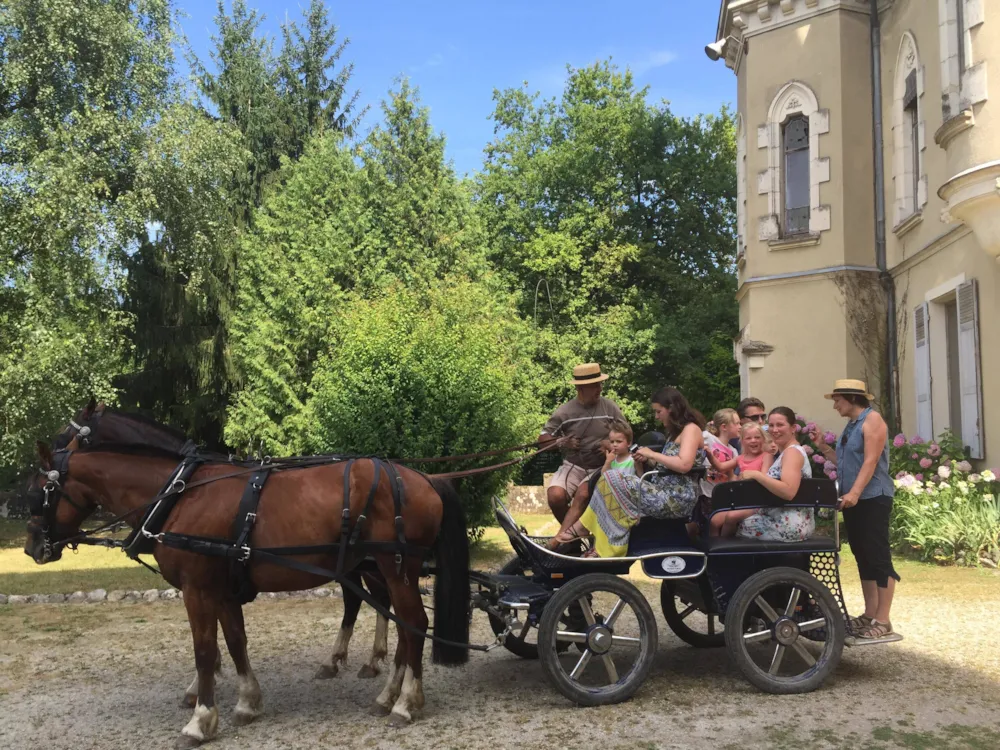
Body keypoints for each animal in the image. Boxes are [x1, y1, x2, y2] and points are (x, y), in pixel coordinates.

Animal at [25, 438, 470, 748]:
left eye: (38, 491)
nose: (32, 548)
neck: (180, 495)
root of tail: (425, 479)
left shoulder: (198, 590)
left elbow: (205, 653)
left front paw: (200, 721)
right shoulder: (223, 591)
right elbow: (236, 642)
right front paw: (246, 702)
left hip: (396, 568)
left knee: (414, 623)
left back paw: (406, 702)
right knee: (403, 626)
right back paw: (388, 694)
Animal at [51, 406, 394, 688]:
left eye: (65, 436)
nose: (50, 461)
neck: (183, 483)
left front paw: (206, 679)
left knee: (374, 597)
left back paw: (367, 659)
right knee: (362, 599)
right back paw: (347, 659)